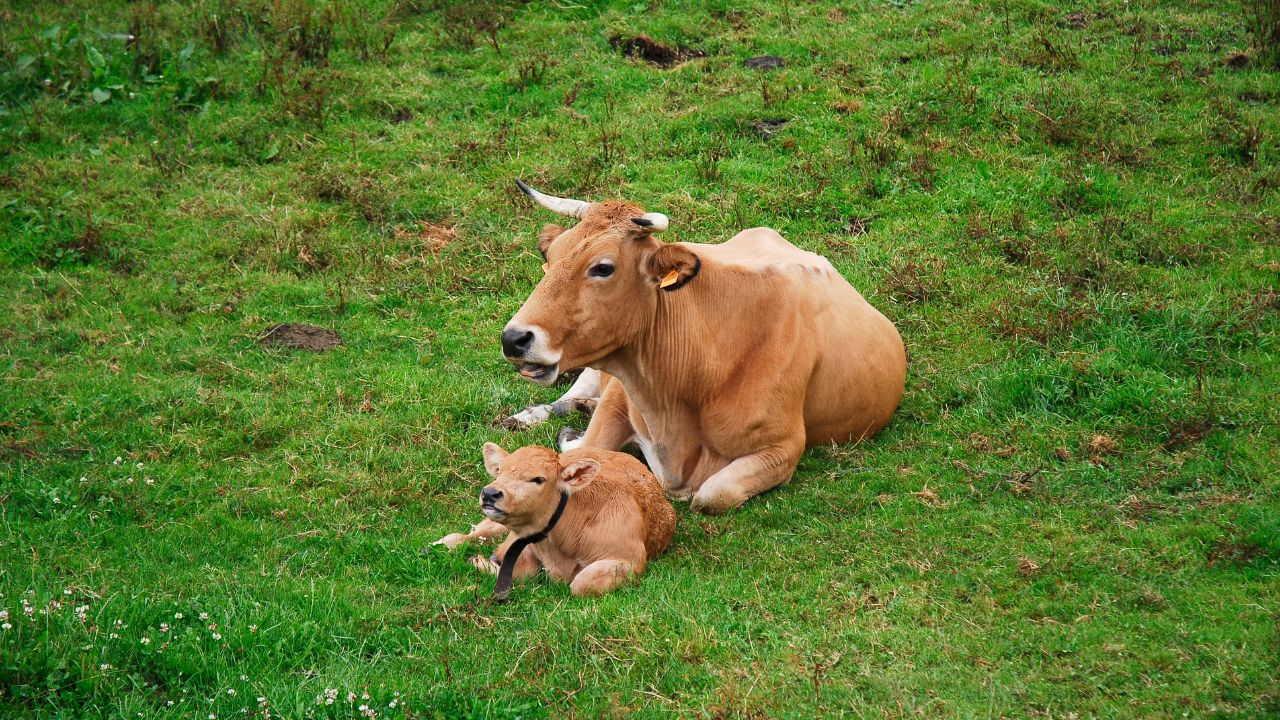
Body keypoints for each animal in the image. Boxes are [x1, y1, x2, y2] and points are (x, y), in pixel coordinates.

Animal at [500, 181, 906, 514]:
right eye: (550, 258)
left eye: (603, 267)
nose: (514, 338)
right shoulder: (621, 389)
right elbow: (586, 447)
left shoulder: (785, 447)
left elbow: (712, 495)